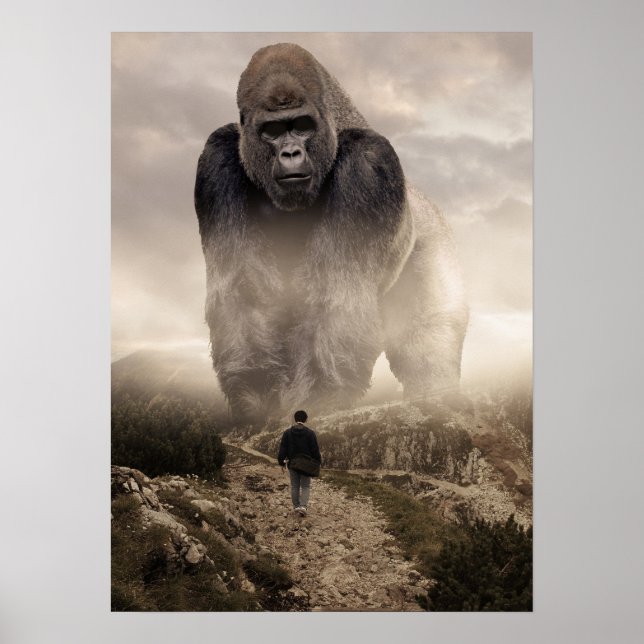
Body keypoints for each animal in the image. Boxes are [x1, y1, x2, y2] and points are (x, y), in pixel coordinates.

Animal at [195, 43, 468, 421]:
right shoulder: (217, 158)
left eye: (302, 126)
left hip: (436, 241)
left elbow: (338, 296)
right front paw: (255, 397)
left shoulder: (368, 162)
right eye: (272, 131)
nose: (290, 152)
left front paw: (320, 398)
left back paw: (438, 396)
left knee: (428, 345)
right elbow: (241, 291)